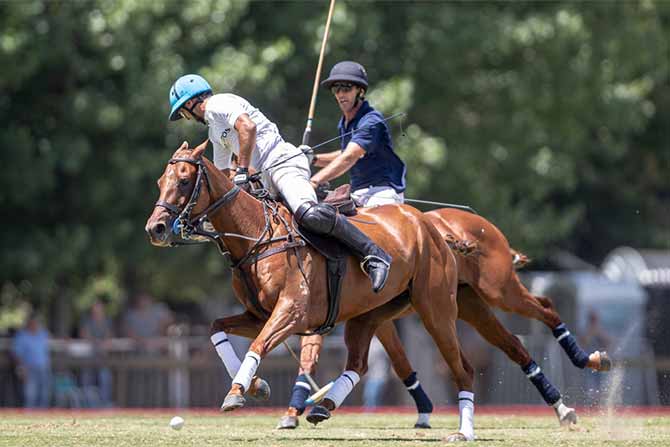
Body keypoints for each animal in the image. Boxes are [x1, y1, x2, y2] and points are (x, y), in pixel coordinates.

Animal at [146, 143, 478, 440]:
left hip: (436, 310)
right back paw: (323, 406)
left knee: (463, 369)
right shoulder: (258, 315)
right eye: (160, 181)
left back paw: (463, 432)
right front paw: (256, 386)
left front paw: (238, 392)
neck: (257, 237)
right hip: (370, 314)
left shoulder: (293, 312)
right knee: (359, 363)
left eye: (184, 180)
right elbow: (218, 328)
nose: (155, 229)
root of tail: (430, 226)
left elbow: (258, 344)